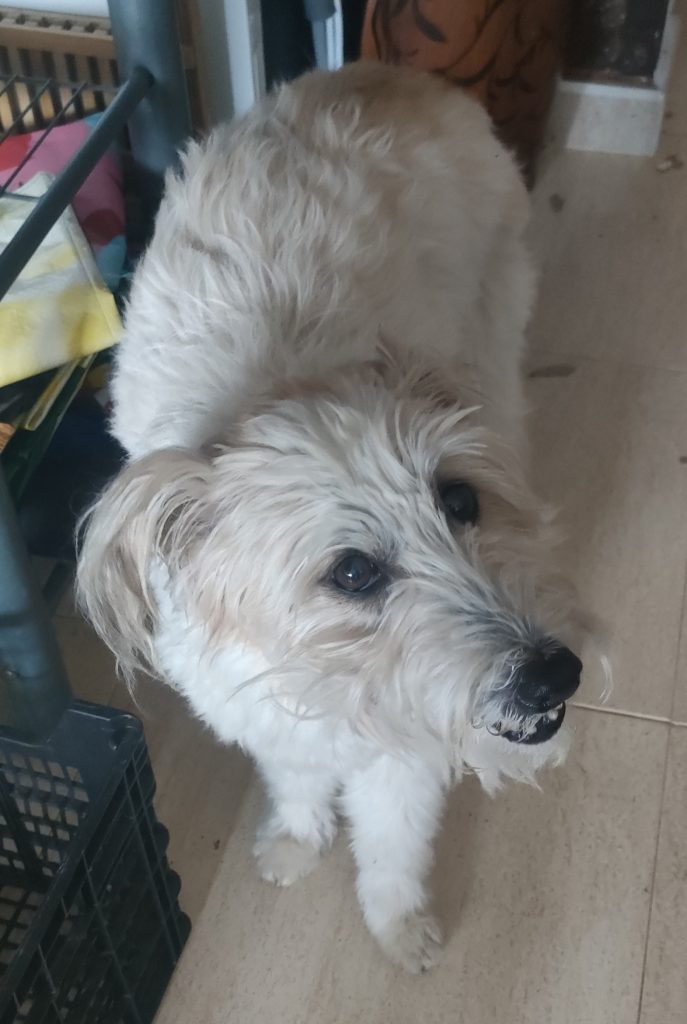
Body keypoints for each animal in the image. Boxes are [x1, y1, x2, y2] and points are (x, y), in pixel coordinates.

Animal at [77, 62, 588, 973]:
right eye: (351, 573)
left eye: (460, 500)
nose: (552, 676)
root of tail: (386, 71)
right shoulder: (267, 718)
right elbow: (298, 784)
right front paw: (295, 840)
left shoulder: (403, 755)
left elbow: (391, 845)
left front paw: (397, 925)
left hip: (495, 342)